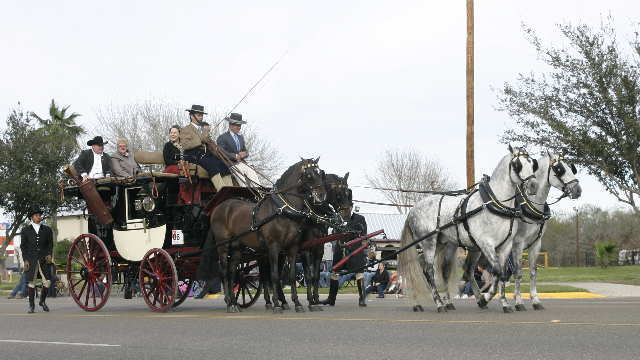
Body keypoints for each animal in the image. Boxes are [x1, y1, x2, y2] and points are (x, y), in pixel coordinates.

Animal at [210, 158, 328, 312]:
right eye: (308, 175)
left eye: (320, 173)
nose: (321, 195)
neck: (282, 210)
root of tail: (219, 208)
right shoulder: (274, 247)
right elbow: (274, 276)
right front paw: (277, 304)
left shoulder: (292, 248)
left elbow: (291, 275)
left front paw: (297, 303)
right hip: (223, 245)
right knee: (224, 271)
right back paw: (229, 302)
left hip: (237, 248)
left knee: (232, 271)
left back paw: (235, 303)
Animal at [400, 146, 540, 312]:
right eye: (517, 165)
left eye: (532, 163)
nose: (534, 185)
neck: (494, 203)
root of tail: (413, 209)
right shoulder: (486, 244)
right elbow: (497, 271)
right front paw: (485, 299)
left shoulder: (505, 246)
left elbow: (501, 274)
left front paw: (504, 303)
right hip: (428, 243)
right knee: (427, 271)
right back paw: (438, 304)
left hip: (443, 244)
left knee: (439, 270)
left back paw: (444, 303)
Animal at [508, 150, 584, 310]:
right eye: (559, 169)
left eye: (571, 168)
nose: (577, 190)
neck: (529, 204)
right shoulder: (518, 244)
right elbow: (518, 272)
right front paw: (518, 302)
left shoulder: (536, 243)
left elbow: (532, 272)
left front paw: (535, 301)